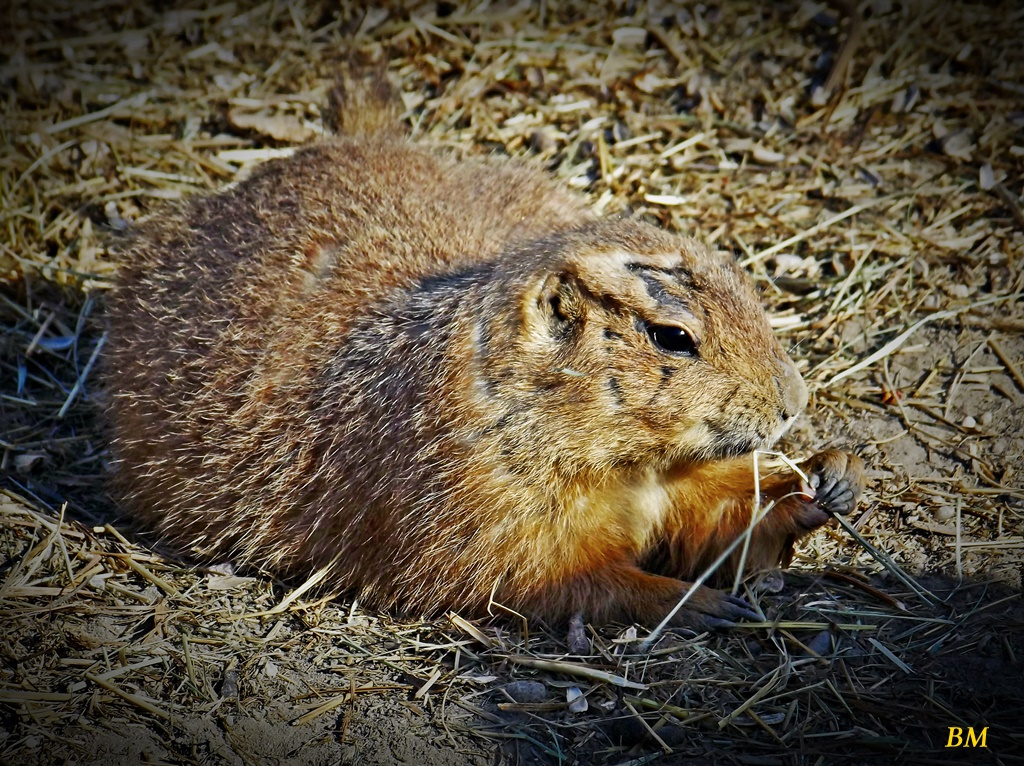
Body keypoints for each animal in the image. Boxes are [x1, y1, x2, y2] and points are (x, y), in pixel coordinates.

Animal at [105, 73, 864, 634]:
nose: (796, 400)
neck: (626, 467)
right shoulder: (478, 493)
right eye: (673, 337)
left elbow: (716, 516)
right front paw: (696, 601)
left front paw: (827, 478)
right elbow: (543, 574)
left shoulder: (674, 477)